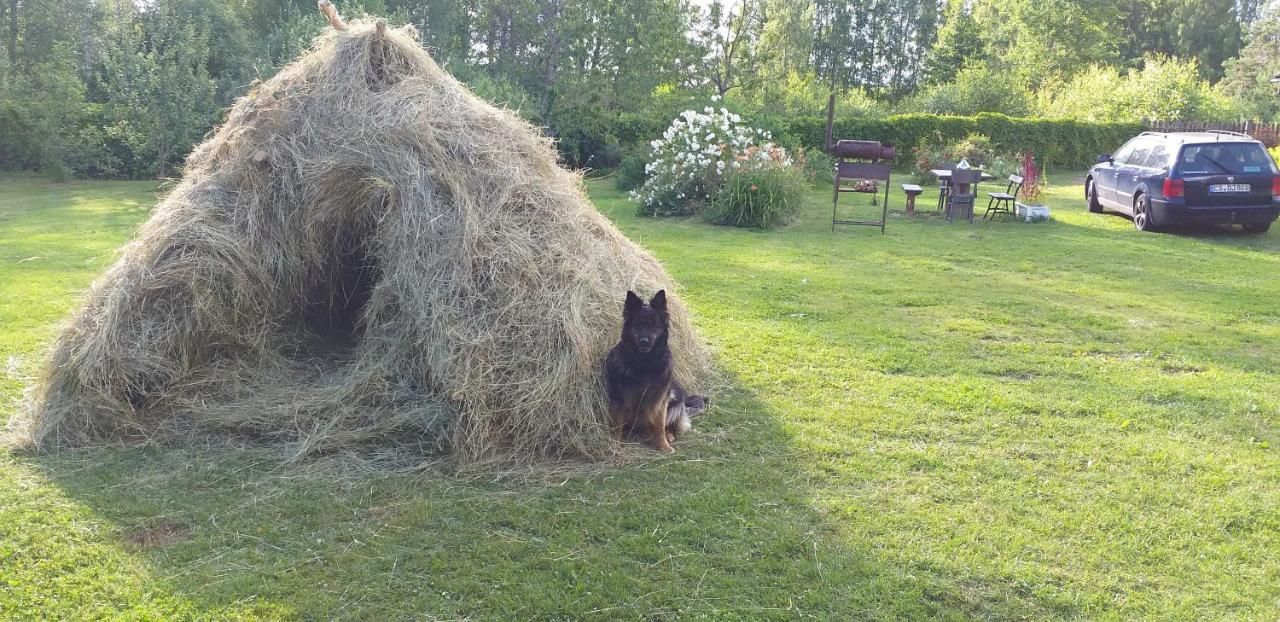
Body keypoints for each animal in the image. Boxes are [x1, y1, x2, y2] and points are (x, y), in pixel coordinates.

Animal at [601, 289, 706, 455]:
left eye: (653, 325)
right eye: (638, 324)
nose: (644, 341)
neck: (645, 363)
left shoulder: (660, 399)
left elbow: (659, 427)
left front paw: (663, 446)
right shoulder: (619, 399)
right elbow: (617, 427)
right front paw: (615, 444)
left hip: (676, 398)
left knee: (669, 426)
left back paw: (669, 436)